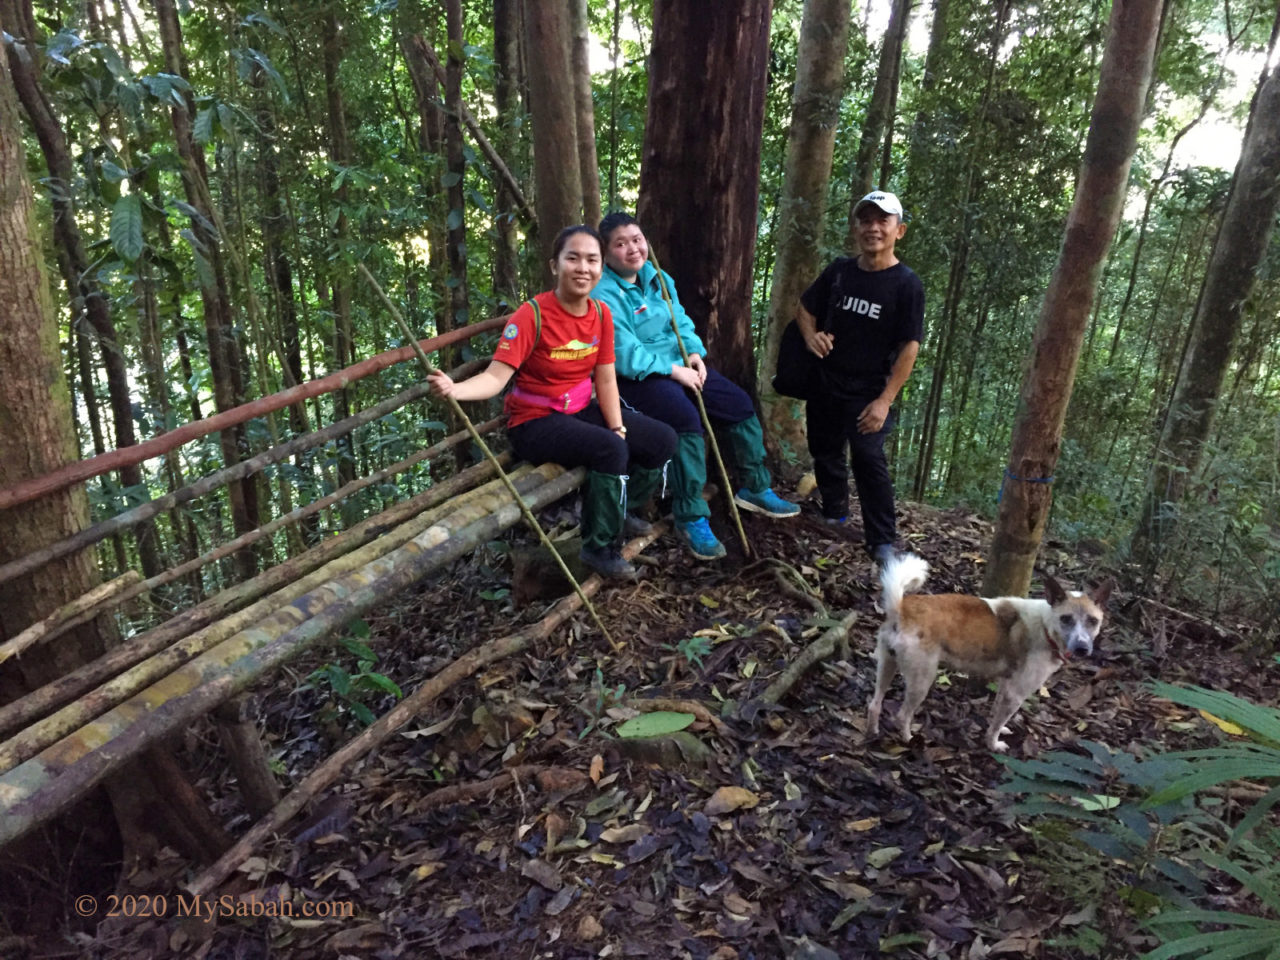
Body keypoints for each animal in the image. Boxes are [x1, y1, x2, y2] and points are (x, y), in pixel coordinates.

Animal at [870, 552, 1111, 757]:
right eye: (1066, 619)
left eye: (1093, 621)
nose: (1082, 648)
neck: (1045, 625)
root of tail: (902, 608)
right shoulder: (1016, 693)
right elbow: (997, 723)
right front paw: (993, 744)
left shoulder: (1007, 683)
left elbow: (997, 713)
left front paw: (998, 729)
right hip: (922, 679)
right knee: (902, 715)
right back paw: (908, 739)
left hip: (887, 664)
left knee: (874, 704)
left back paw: (872, 732)